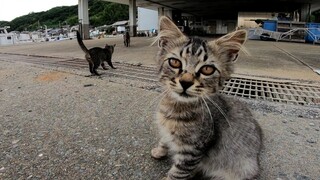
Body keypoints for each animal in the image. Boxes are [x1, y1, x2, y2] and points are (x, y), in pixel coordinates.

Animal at [152, 16, 262, 179]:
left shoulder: (192, 151)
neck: (176, 107)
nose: (185, 82)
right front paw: (160, 150)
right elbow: (164, 139)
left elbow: (177, 173)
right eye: (175, 62)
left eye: (207, 69)